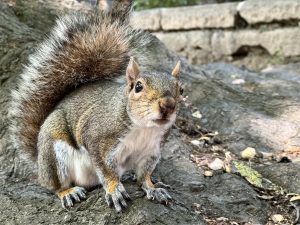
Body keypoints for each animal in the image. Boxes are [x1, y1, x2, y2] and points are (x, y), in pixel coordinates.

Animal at [9, 0, 183, 212]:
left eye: (181, 90)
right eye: (138, 87)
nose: (168, 105)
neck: (143, 128)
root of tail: (40, 161)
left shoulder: (151, 151)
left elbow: (145, 174)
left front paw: (153, 188)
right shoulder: (98, 139)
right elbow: (106, 170)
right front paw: (114, 190)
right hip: (54, 151)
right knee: (56, 186)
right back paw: (68, 192)